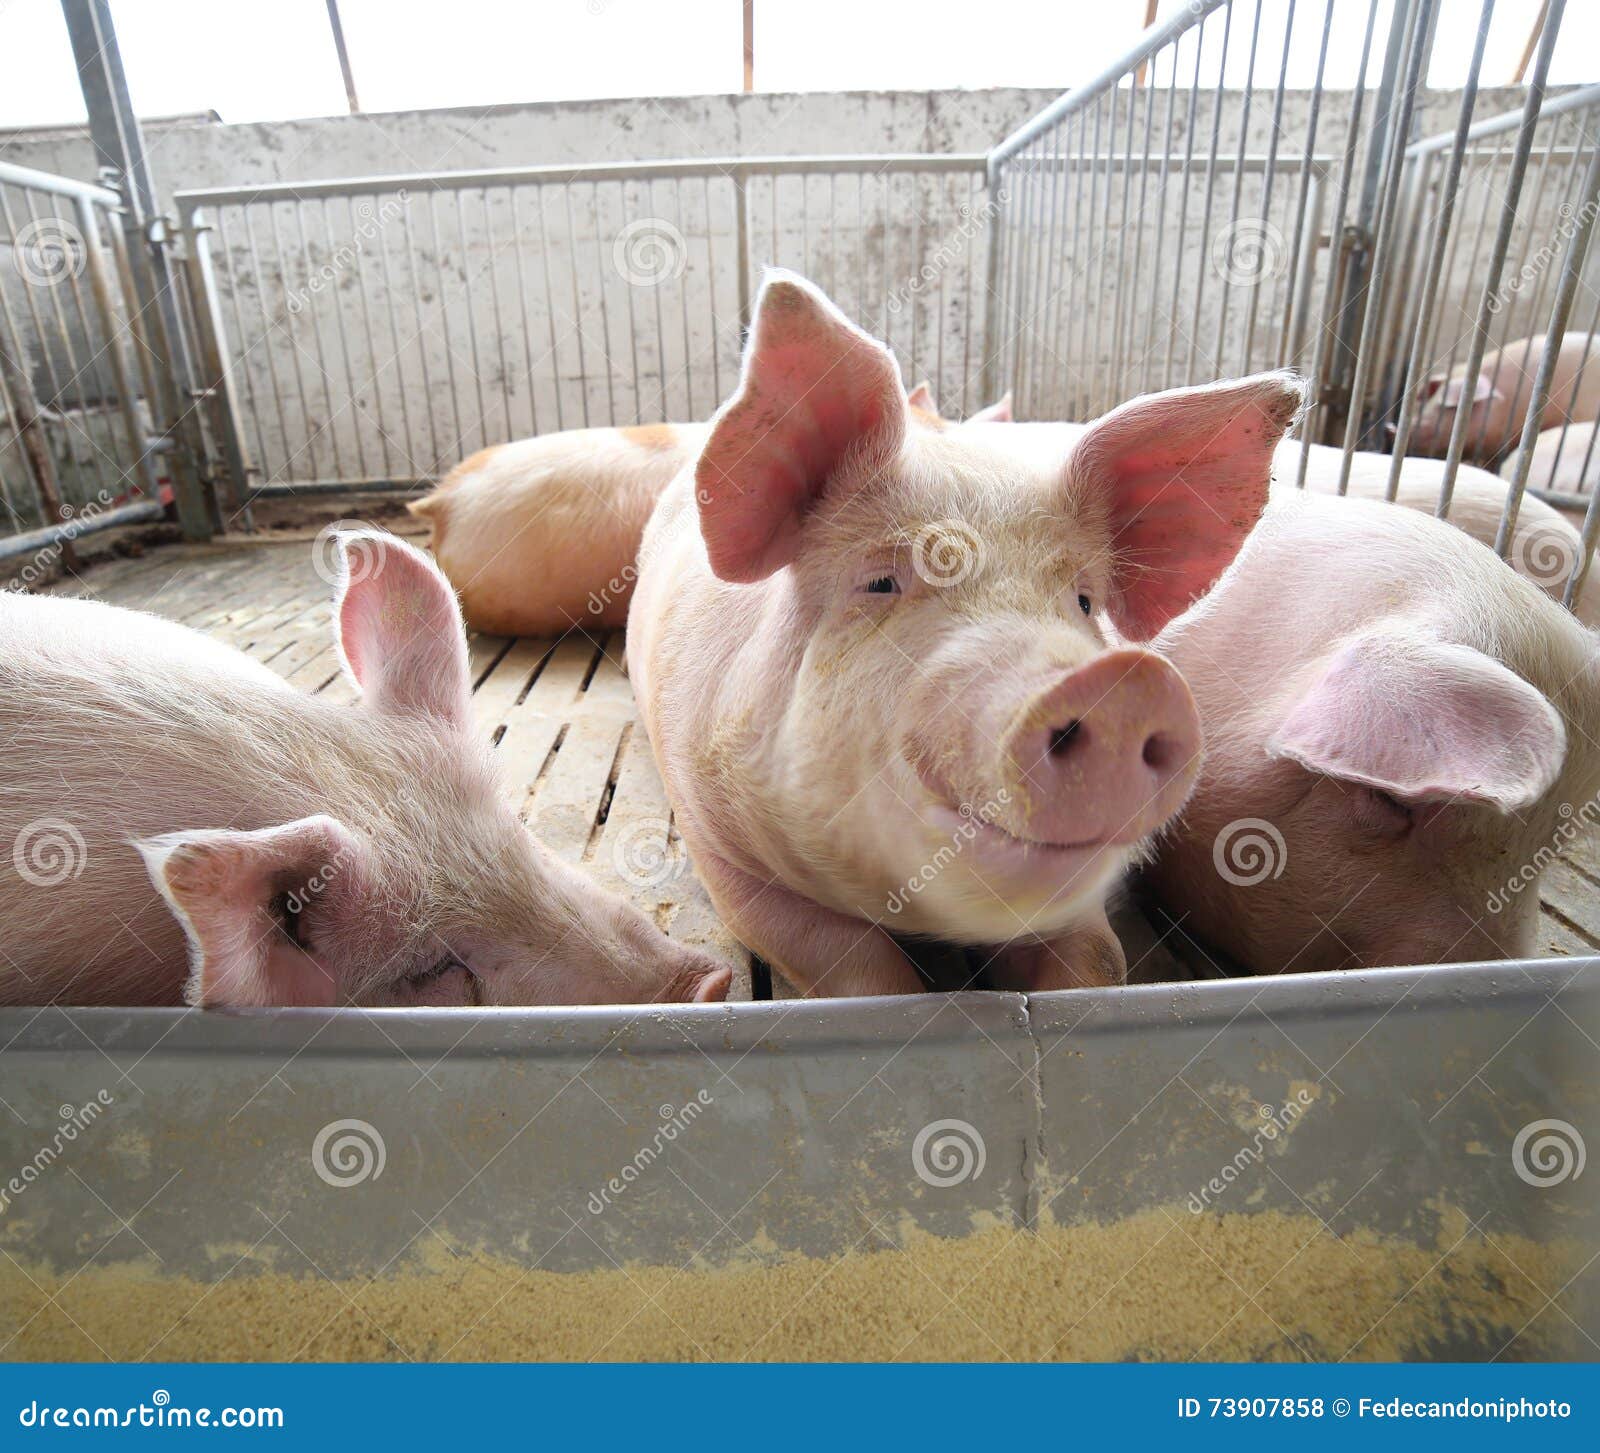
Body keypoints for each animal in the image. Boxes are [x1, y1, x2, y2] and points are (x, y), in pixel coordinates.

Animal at [627, 271, 1306, 996]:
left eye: (1084, 601)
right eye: (881, 582)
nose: (1122, 687)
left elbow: (1100, 959)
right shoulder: (719, 842)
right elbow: (852, 961)